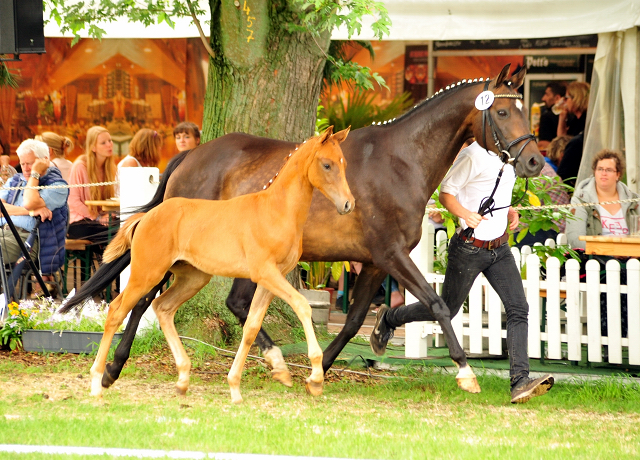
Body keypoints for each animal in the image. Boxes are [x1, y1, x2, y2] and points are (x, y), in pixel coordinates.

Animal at [90, 126, 352, 402]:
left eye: (343, 163)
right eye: (326, 164)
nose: (347, 204)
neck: (276, 211)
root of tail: (146, 216)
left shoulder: (270, 280)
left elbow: (251, 327)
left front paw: (237, 385)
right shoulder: (265, 273)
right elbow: (302, 306)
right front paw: (315, 378)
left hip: (192, 278)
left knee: (162, 307)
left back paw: (182, 378)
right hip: (147, 273)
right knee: (117, 310)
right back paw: (98, 380)